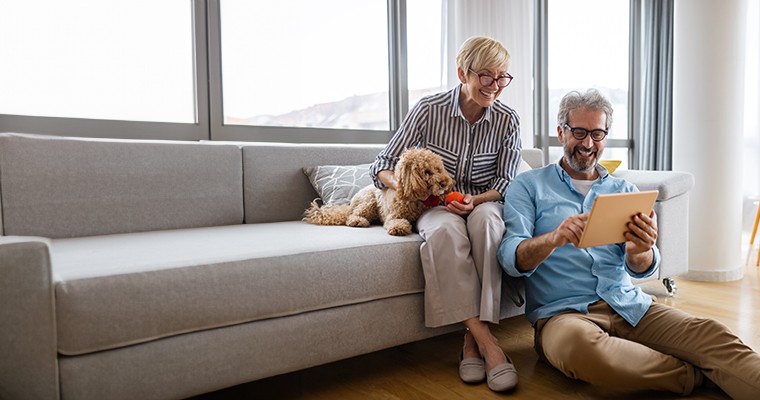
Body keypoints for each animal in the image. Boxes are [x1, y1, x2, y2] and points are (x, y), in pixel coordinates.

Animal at [302, 148, 454, 236]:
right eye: (427, 172)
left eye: (439, 169)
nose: (444, 183)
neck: (415, 201)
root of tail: (351, 203)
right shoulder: (393, 216)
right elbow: (395, 221)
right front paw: (398, 228)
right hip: (368, 202)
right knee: (352, 216)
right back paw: (358, 221)